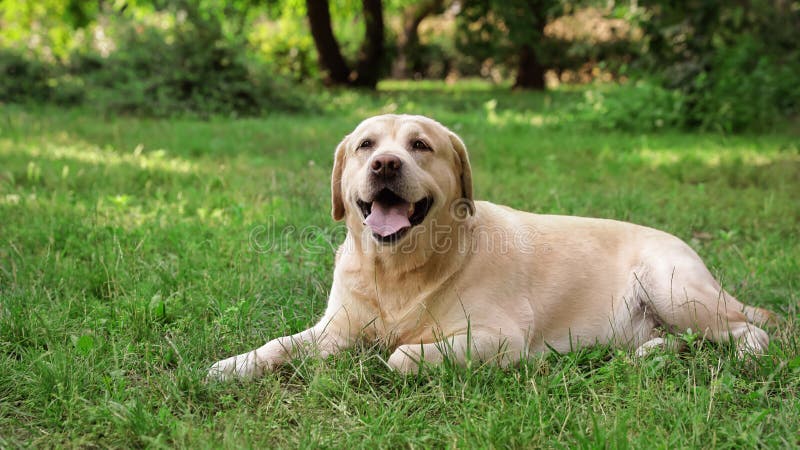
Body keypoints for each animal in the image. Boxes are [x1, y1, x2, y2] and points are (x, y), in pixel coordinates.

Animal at [208, 113, 776, 380]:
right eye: (367, 145)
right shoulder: (335, 331)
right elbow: (279, 345)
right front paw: (233, 366)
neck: (397, 272)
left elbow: (400, 356)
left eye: (420, 145)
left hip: (674, 287)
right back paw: (651, 352)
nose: (385, 164)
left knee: (749, 330)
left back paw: (745, 356)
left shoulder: (496, 338)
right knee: (681, 340)